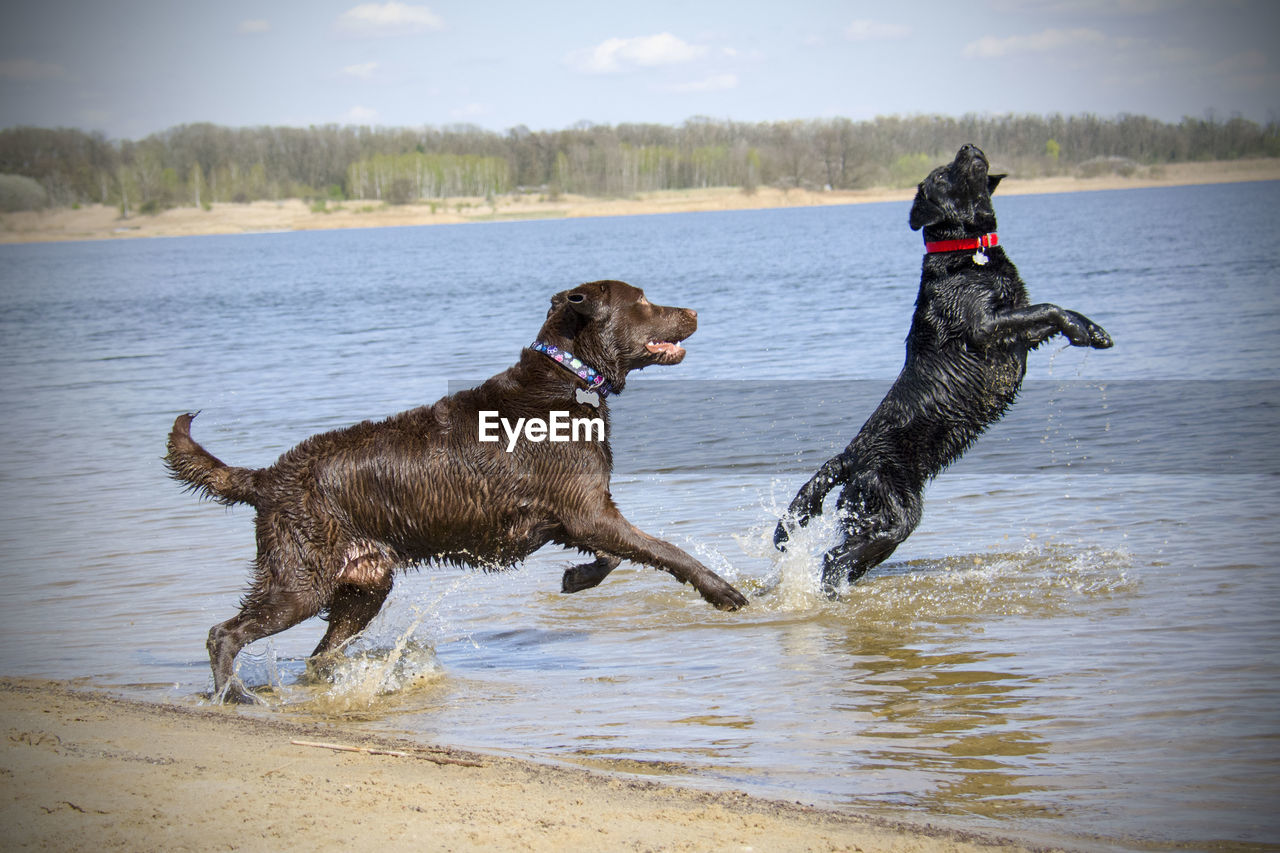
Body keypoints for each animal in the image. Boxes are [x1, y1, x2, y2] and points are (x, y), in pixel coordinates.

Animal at [170, 279, 747, 696]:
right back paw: (235, 696)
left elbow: (613, 557)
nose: (694, 311)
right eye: (644, 300)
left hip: (365, 584)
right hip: (300, 581)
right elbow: (666, 551)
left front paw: (575, 578)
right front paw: (723, 592)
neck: (571, 380)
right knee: (225, 634)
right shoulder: (587, 512)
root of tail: (266, 477)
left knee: (320, 654)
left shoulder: (576, 516)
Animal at [773, 142, 1116, 589]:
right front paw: (1086, 331)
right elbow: (1049, 307)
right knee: (835, 560)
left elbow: (1048, 312)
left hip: (870, 517)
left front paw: (1090, 329)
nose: (968, 146)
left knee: (845, 560)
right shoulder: (985, 325)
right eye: (941, 175)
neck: (968, 253)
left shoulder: (1020, 332)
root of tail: (851, 455)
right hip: (893, 509)